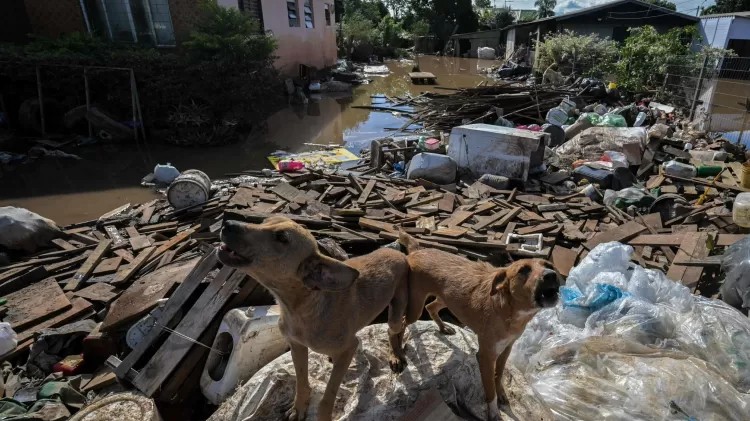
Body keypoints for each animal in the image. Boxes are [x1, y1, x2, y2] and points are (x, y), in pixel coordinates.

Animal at [220, 217, 412, 420]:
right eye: (265, 221)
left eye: (281, 238)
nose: (227, 223)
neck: (300, 309)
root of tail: (397, 252)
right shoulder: (297, 346)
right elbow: (301, 381)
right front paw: (299, 407)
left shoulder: (347, 348)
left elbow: (329, 395)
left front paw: (323, 414)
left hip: (396, 311)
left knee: (395, 328)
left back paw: (396, 354)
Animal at [402, 235, 560, 418]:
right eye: (523, 270)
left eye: (549, 266)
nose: (551, 275)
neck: (509, 312)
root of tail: (418, 251)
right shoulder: (486, 356)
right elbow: (490, 387)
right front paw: (494, 411)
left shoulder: (507, 348)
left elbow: (499, 374)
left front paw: (502, 393)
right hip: (415, 305)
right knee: (401, 323)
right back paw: (397, 353)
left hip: (446, 298)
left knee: (431, 307)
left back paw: (443, 328)